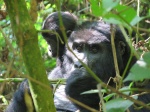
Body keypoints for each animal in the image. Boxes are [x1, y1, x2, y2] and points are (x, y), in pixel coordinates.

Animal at [5, 11, 150, 112]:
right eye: (78, 48)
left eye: (94, 50)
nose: (78, 64)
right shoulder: (54, 74)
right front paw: (25, 91)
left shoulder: (141, 72)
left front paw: (82, 85)